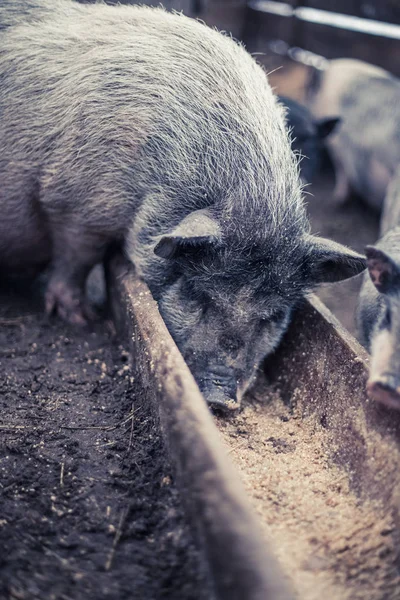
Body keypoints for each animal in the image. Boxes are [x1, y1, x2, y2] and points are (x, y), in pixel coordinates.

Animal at [0, 0, 366, 410]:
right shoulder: (72, 200)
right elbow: (76, 259)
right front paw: (82, 319)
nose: (221, 398)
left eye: (271, 317)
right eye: (197, 295)